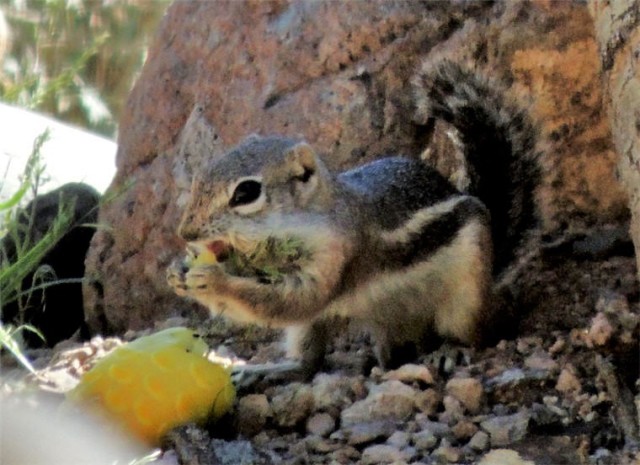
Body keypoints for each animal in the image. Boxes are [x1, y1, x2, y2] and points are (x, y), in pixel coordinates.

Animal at [166, 60, 540, 374]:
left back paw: (448, 350)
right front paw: (176, 273)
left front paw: (215, 281)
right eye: (202, 175)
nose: (186, 232)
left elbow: (293, 302)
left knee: (471, 334)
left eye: (245, 193)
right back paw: (272, 371)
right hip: (319, 329)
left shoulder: (335, 255)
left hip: (465, 293)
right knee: (310, 361)